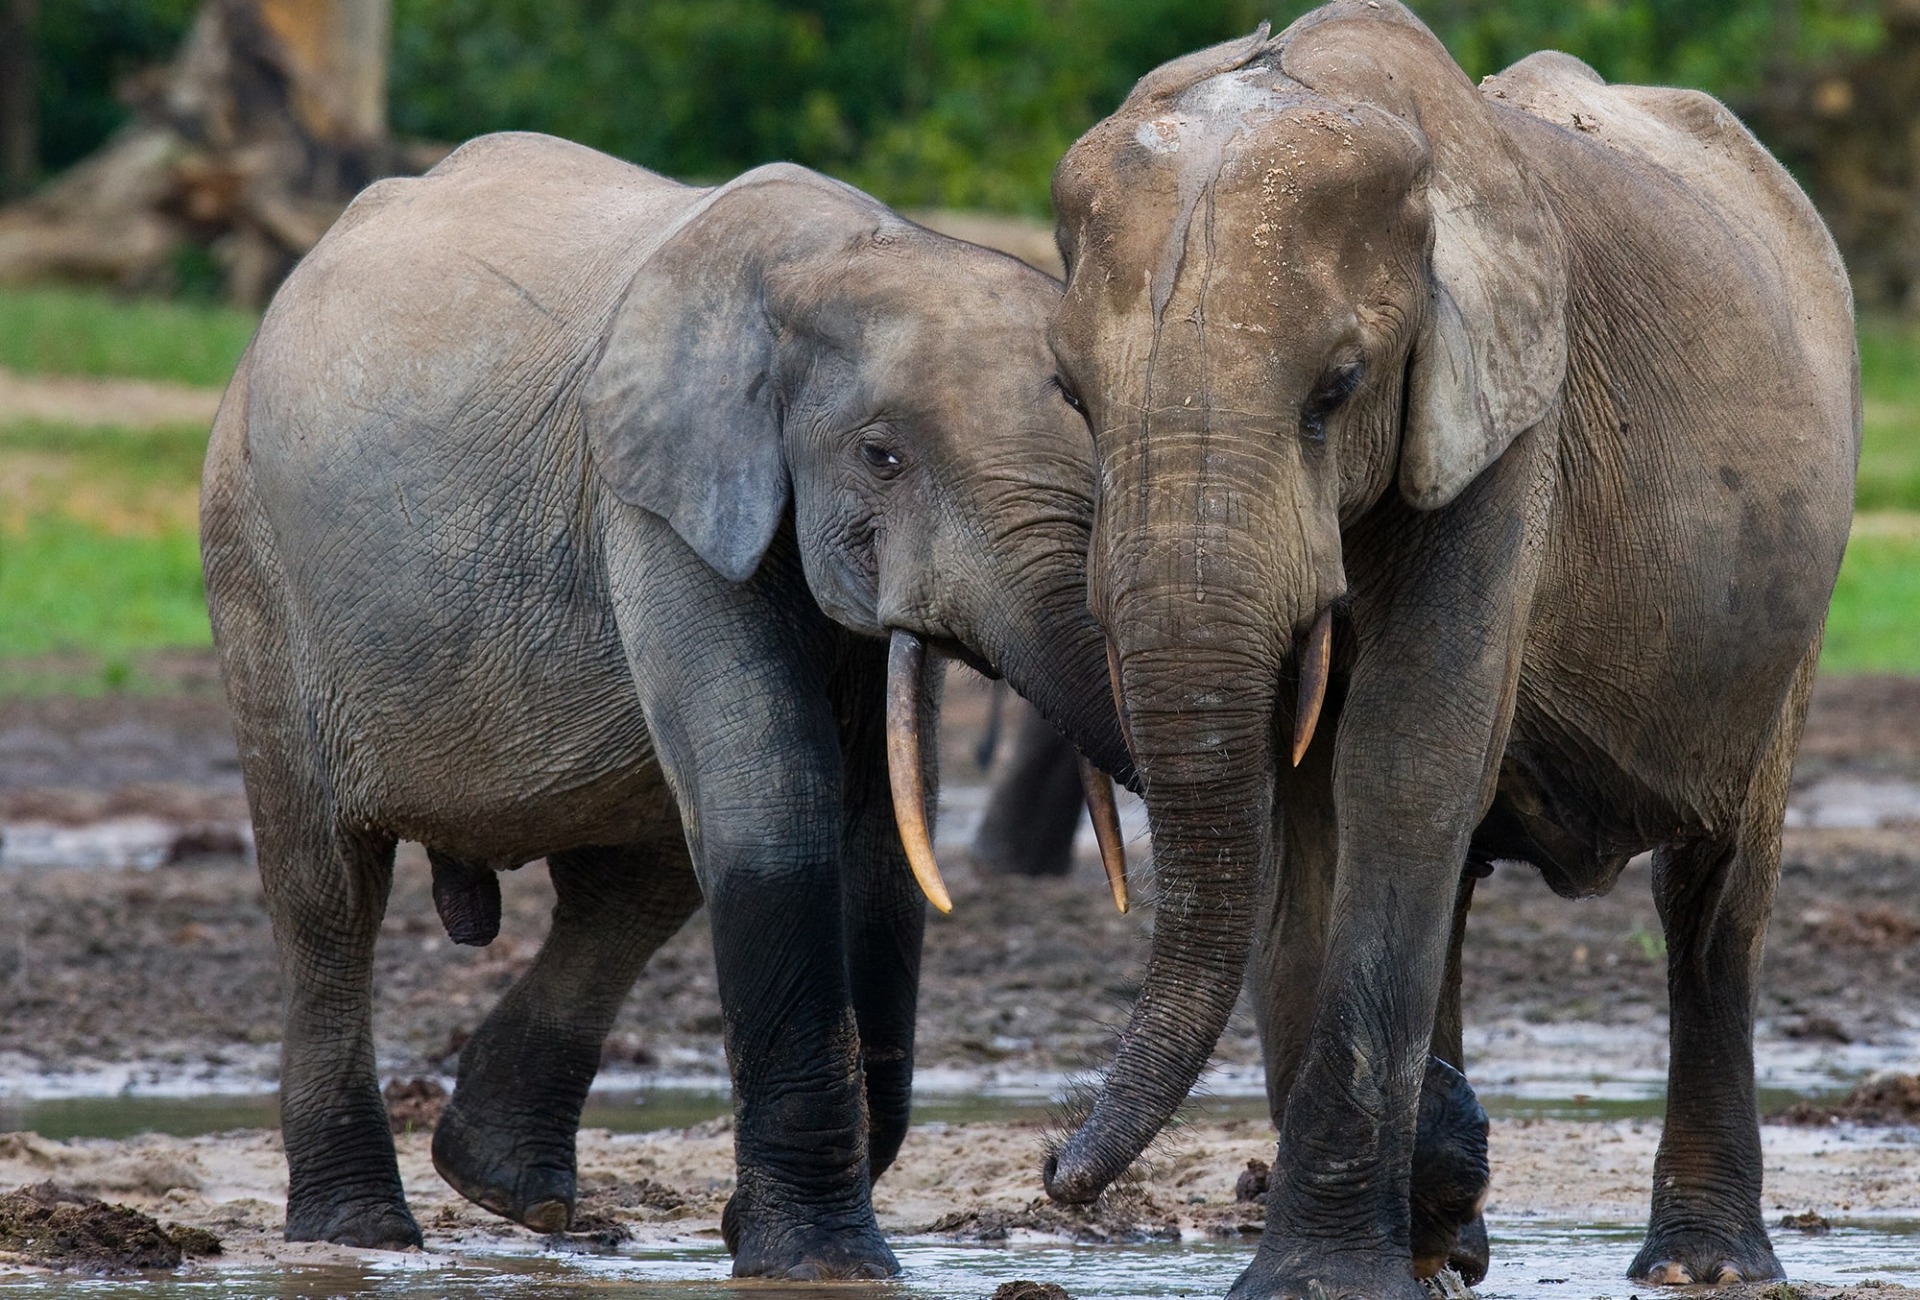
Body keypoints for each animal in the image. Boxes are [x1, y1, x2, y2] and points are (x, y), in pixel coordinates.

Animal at [206, 134, 1136, 1275]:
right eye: (882, 456)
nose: (1059, 1172)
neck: (838, 260)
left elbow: (879, 845)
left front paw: (766, 1235)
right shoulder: (656, 500)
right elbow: (777, 807)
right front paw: (818, 1266)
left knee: (637, 883)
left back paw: (509, 1190)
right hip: (253, 564)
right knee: (329, 899)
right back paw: (362, 1232)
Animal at [1036, 5, 1858, 1290]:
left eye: (1337, 389)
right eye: (1071, 394)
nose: (1056, 1172)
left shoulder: (1513, 419)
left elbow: (1402, 754)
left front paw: (1327, 1271)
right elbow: (1303, 804)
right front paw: (1422, 1206)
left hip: (1796, 603)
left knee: (1715, 894)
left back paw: (1701, 1264)